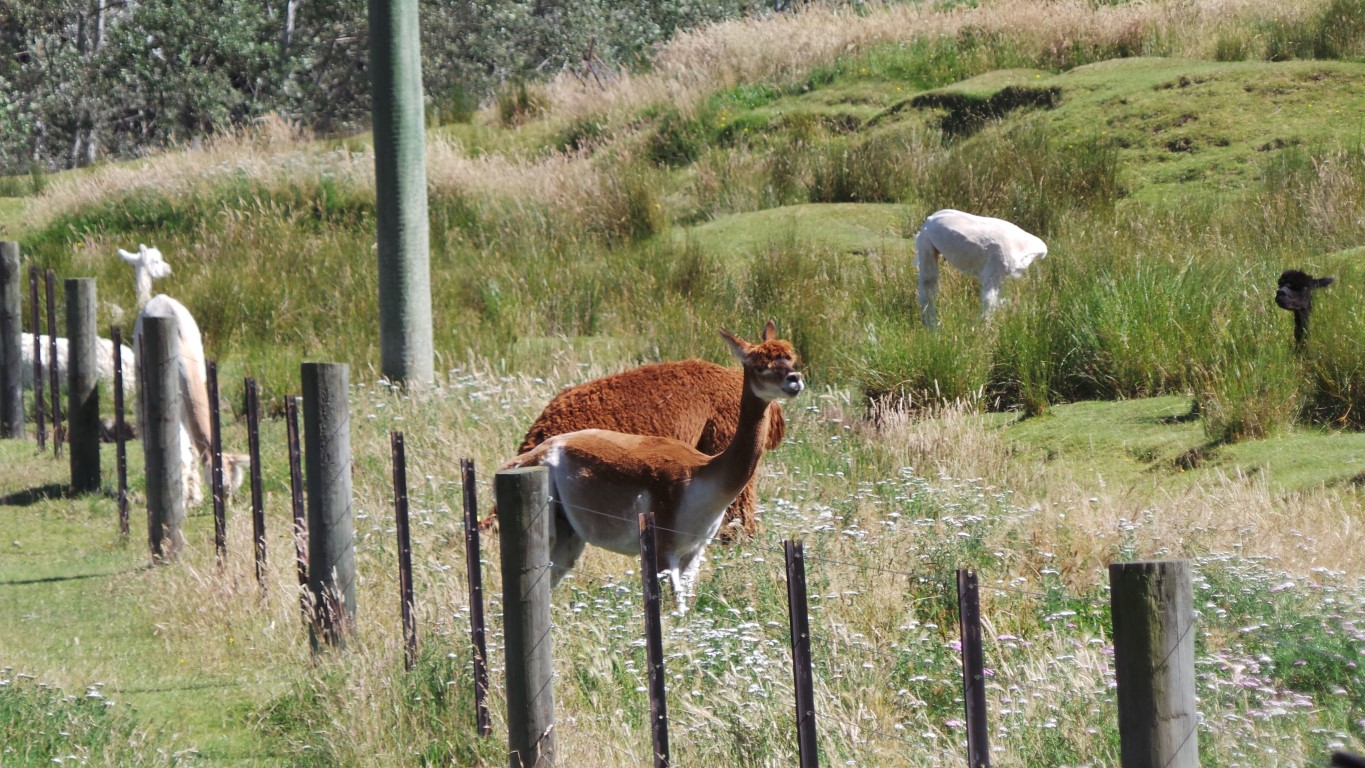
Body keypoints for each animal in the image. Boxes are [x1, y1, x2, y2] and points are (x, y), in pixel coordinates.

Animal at [503, 321, 804, 613]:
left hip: (570, 534)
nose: (795, 380)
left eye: (791, 359)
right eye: (759, 365)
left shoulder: (694, 551)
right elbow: (671, 613)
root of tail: (529, 455)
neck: (703, 477)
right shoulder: (661, 547)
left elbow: (685, 613)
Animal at [915, 208, 1048, 326]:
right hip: (926, 245)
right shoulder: (994, 269)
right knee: (927, 287)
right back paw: (931, 325)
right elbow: (988, 304)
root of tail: (930, 219)